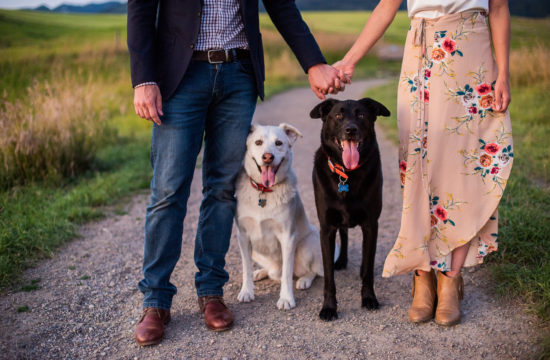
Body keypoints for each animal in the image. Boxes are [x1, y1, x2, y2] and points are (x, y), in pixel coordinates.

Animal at [236, 123, 324, 310]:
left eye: (279, 143)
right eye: (258, 142)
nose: (268, 157)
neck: (264, 191)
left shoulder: (288, 237)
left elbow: (287, 274)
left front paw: (286, 298)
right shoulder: (243, 236)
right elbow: (246, 268)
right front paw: (247, 291)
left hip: (308, 244)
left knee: (312, 271)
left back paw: (304, 280)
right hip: (257, 252)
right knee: (272, 271)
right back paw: (261, 272)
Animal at [312, 97, 390, 320]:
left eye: (361, 115)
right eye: (338, 115)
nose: (350, 130)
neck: (347, 174)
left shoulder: (371, 225)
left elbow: (369, 268)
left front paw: (369, 298)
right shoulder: (326, 228)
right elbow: (329, 277)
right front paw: (329, 307)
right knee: (344, 233)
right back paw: (341, 260)